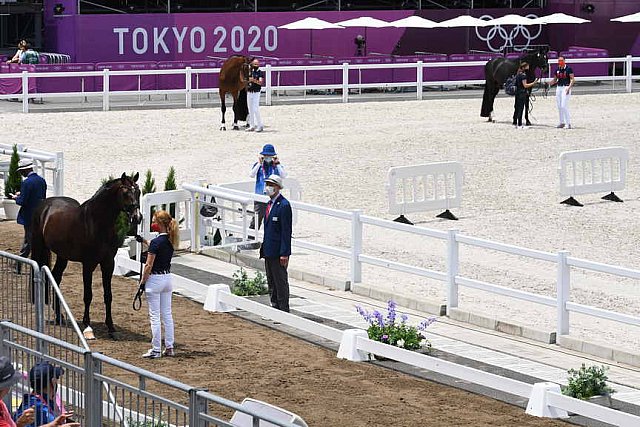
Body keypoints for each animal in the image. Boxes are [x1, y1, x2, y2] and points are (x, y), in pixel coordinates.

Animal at [30, 172, 141, 340]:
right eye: (125, 192)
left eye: (138, 192)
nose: (137, 217)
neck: (96, 223)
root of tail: (45, 204)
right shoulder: (88, 264)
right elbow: (88, 295)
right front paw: (87, 326)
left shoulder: (108, 263)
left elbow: (108, 295)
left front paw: (111, 328)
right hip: (39, 248)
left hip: (63, 255)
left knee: (56, 277)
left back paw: (59, 317)